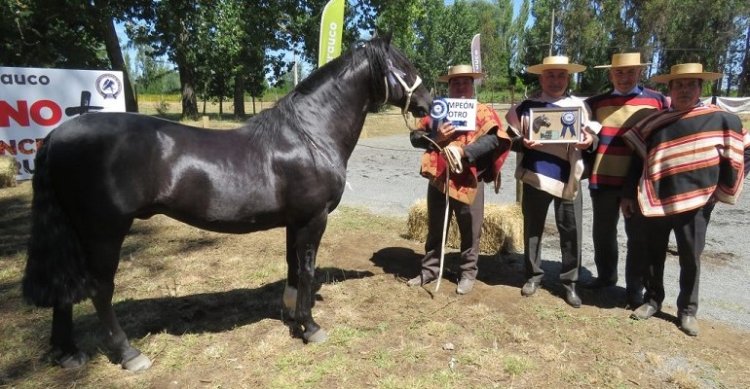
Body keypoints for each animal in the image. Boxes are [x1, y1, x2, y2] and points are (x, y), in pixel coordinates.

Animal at [22, 35, 428, 370]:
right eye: (405, 67)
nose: (428, 104)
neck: (309, 135)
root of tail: (56, 135)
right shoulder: (314, 218)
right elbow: (308, 270)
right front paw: (310, 327)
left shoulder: (295, 220)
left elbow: (293, 266)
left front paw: (290, 317)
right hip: (104, 232)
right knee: (99, 290)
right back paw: (128, 354)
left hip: (74, 233)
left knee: (64, 286)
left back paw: (68, 353)